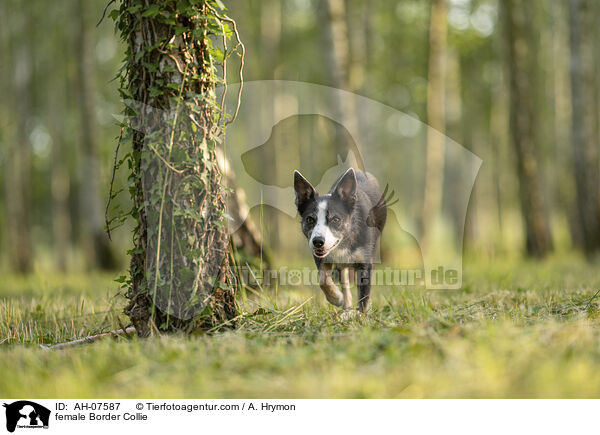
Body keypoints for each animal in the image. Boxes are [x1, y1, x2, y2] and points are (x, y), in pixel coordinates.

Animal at [292, 168, 386, 314]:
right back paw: (346, 306)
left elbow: (364, 296)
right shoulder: (321, 258)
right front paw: (337, 298)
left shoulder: (365, 263)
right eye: (309, 219)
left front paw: (361, 315)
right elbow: (323, 279)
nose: (318, 241)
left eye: (335, 219)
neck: (345, 240)